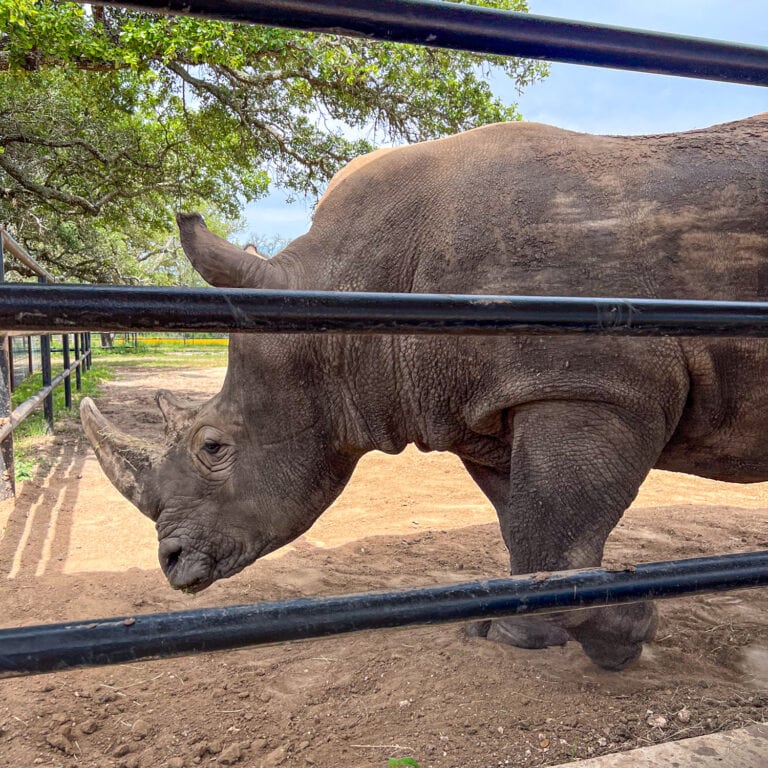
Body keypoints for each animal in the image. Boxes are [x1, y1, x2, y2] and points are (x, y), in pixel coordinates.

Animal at [81, 114, 768, 671]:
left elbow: (555, 535)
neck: (352, 289)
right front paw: (514, 636)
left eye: (214, 447)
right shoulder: (486, 406)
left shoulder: (597, 386)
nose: (171, 562)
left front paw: (630, 632)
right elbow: (527, 531)